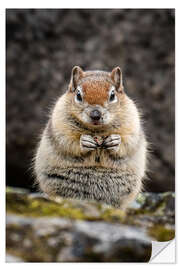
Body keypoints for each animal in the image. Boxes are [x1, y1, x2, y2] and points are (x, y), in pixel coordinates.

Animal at [34, 66, 148, 209]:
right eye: (78, 95)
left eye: (112, 95)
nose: (95, 114)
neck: (97, 132)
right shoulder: (60, 124)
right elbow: (67, 140)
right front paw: (84, 142)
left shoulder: (132, 123)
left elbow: (128, 141)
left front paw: (115, 141)